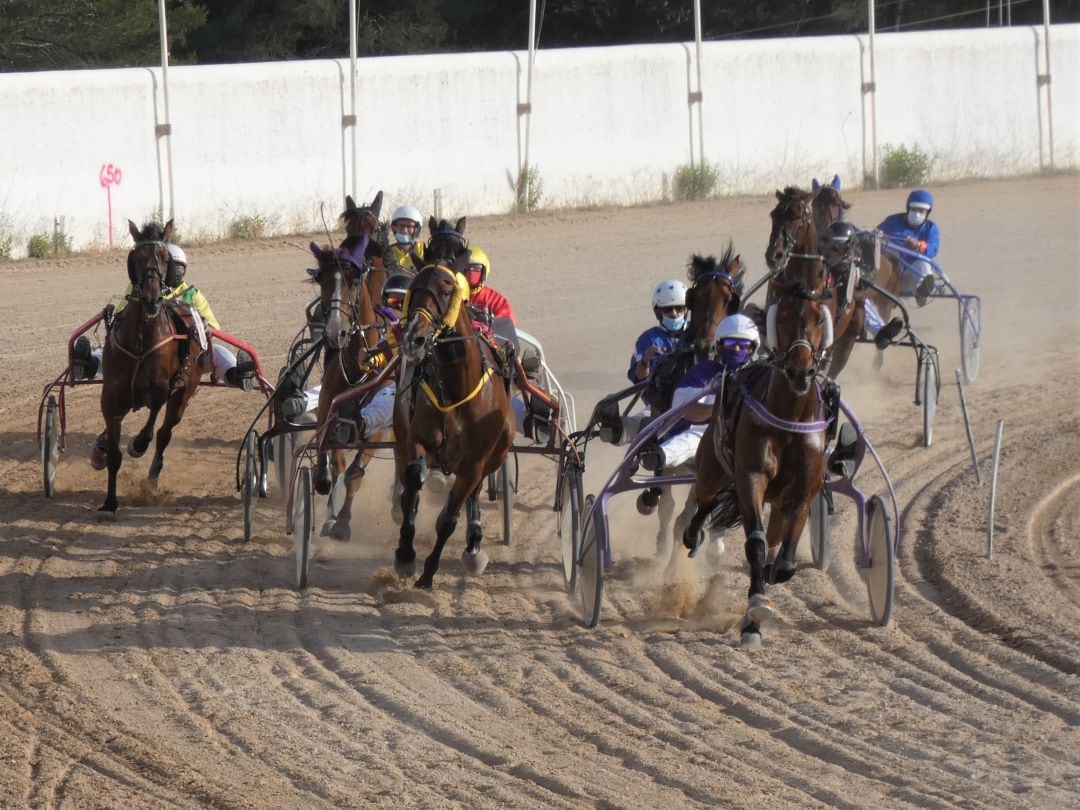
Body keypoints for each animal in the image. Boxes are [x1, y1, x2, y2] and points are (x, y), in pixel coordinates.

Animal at [95, 220, 206, 514]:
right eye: (136, 257)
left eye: (165, 258)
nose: (152, 299)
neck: (140, 342)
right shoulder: (111, 398)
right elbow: (113, 453)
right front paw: (109, 502)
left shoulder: (161, 387)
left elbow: (155, 408)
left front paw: (137, 444)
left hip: (183, 395)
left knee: (164, 433)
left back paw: (151, 478)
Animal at [393, 257, 514, 591]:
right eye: (414, 285)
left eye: (447, 289)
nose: (414, 338)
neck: (459, 386)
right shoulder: (416, 437)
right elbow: (413, 479)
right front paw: (405, 555)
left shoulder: (474, 464)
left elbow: (449, 520)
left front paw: (428, 574)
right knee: (411, 484)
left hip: (496, 453)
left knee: (471, 497)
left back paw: (474, 545)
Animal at [682, 266, 833, 648]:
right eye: (783, 317)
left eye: (817, 318)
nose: (800, 370)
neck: (790, 417)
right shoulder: (750, 477)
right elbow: (757, 544)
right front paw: (755, 611)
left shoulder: (803, 490)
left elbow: (787, 561)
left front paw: (770, 580)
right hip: (712, 463)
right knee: (704, 497)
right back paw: (692, 534)